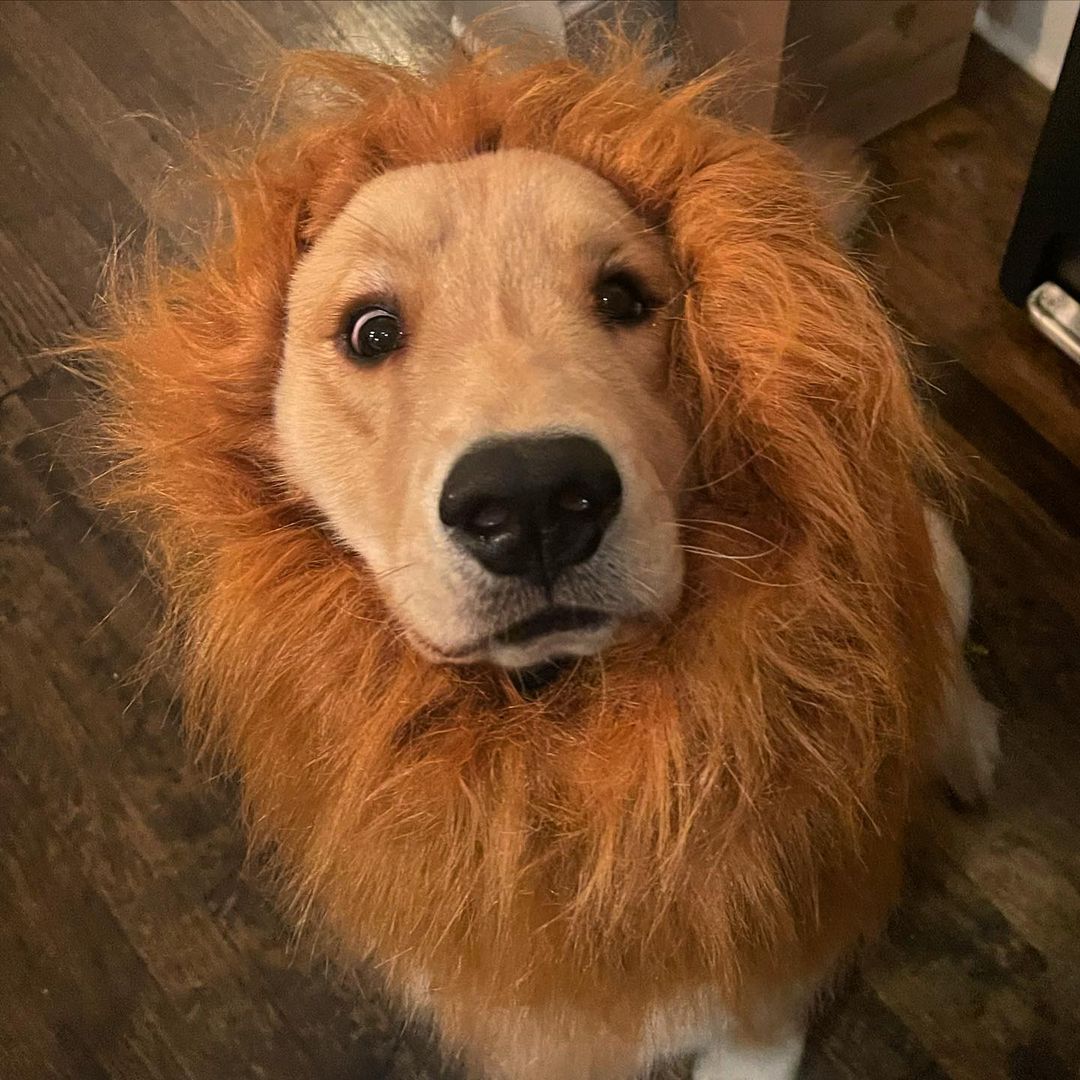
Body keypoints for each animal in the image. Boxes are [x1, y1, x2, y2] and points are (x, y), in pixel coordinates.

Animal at [91, 41, 999, 1080]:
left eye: (624, 298)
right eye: (371, 331)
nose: (532, 504)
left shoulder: (766, 984)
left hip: (924, 546)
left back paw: (964, 744)